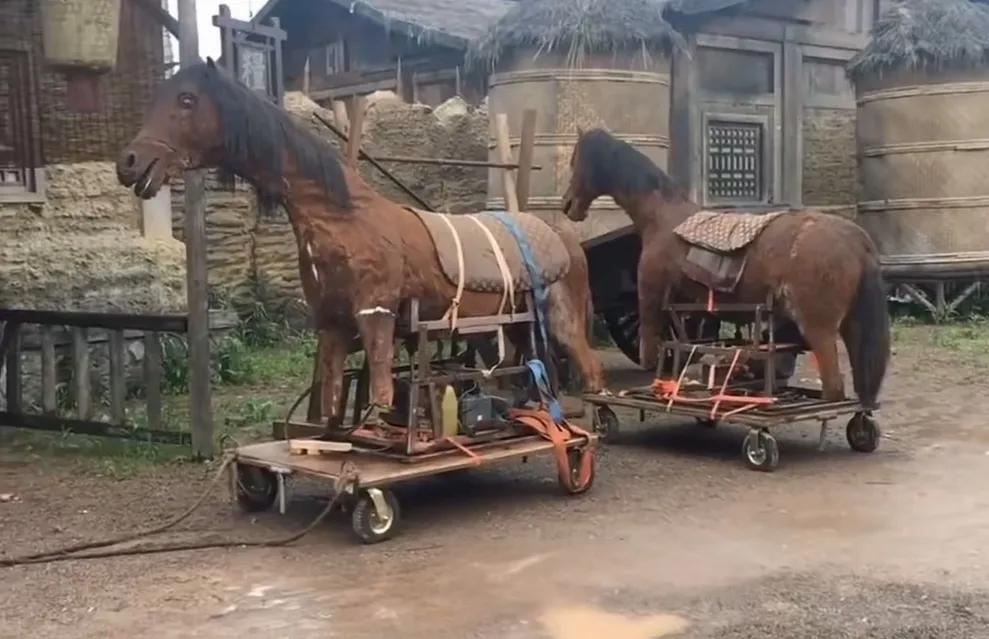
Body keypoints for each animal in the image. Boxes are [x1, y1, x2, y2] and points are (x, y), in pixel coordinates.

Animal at [116, 59, 604, 426]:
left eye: (186, 100)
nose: (130, 163)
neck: (342, 219)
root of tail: (562, 236)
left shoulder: (377, 318)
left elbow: (382, 401)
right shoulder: (332, 326)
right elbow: (333, 407)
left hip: (560, 318)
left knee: (593, 371)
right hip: (518, 327)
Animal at [561, 129, 889, 407]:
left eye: (576, 161)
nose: (567, 205)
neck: (661, 217)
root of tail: (857, 240)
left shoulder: (651, 297)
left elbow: (652, 355)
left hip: (818, 326)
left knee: (834, 389)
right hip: (850, 325)